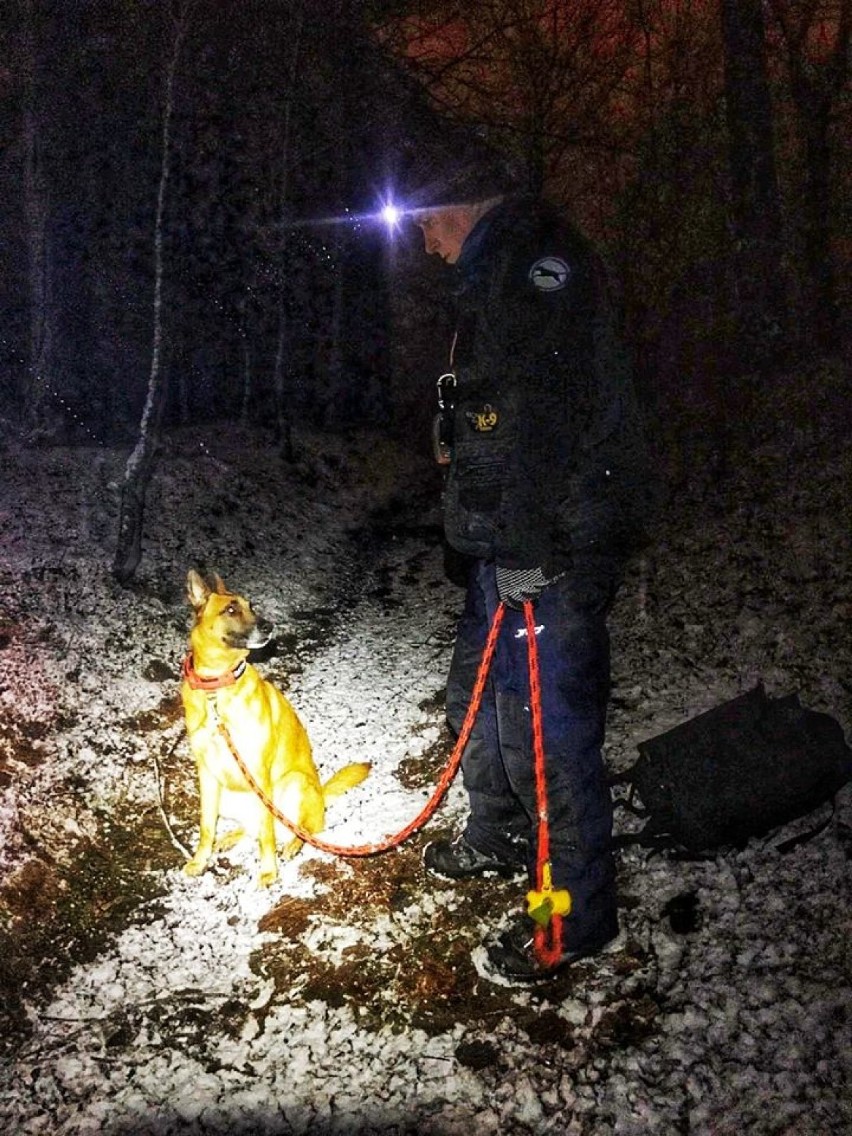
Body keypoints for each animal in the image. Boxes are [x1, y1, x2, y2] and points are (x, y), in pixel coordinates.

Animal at [181, 568, 372, 886]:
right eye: (231, 609)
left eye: (251, 605)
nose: (269, 626)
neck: (216, 690)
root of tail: (321, 795)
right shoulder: (207, 775)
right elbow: (207, 827)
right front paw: (200, 861)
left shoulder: (259, 773)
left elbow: (267, 835)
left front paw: (268, 871)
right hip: (228, 795)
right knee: (252, 828)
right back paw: (231, 837)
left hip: (292, 783)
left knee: (303, 829)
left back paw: (294, 843)